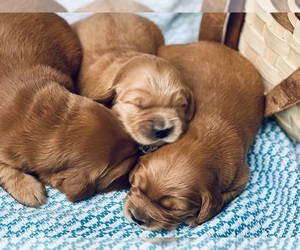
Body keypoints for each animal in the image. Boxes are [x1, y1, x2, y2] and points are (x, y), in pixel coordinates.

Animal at [123, 41, 264, 230]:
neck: (201, 140)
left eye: (174, 209)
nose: (136, 218)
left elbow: (224, 197)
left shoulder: (241, 178)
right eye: (136, 186)